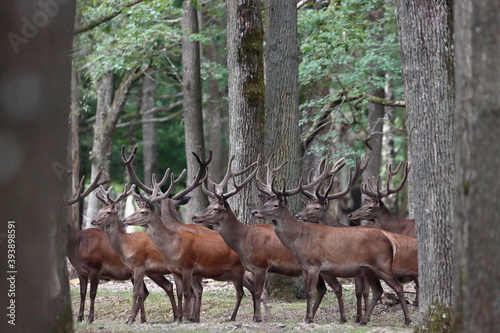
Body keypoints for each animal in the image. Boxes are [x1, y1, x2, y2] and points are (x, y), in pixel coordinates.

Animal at [91, 183, 179, 322]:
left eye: (109, 212)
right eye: (100, 210)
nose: (93, 221)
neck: (126, 245)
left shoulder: (139, 266)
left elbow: (135, 292)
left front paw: (131, 319)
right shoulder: (133, 269)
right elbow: (140, 292)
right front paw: (139, 319)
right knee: (169, 285)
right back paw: (176, 316)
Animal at [121, 146, 270, 322]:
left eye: (143, 211)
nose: (124, 220)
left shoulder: (189, 268)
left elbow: (192, 291)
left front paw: (188, 316)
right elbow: (191, 291)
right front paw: (187, 317)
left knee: (255, 290)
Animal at [191, 155, 348, 322]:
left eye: (215, 208)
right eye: (209, 205)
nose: (195, 216)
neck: (244, 241)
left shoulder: (261, 265)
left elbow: (258, 292)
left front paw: (257, 318)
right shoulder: (250, 268)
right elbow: (255, 292)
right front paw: (256, 316)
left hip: (324, 267)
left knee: (335, 287)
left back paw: (339, 317)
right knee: (322, 289)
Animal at [250, 155, 410, 324]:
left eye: (275, 205)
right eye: (265, 202)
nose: (254, 211)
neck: (299, 240)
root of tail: (389, 239)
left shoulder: (315, 265)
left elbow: (311, 292)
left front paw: (308, 318)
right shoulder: (304, 267)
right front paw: (309, 317)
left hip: (382, 265)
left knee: (397, 286)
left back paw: (407, 320)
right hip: (369, 269)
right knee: (378, 290)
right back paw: (364, 320)